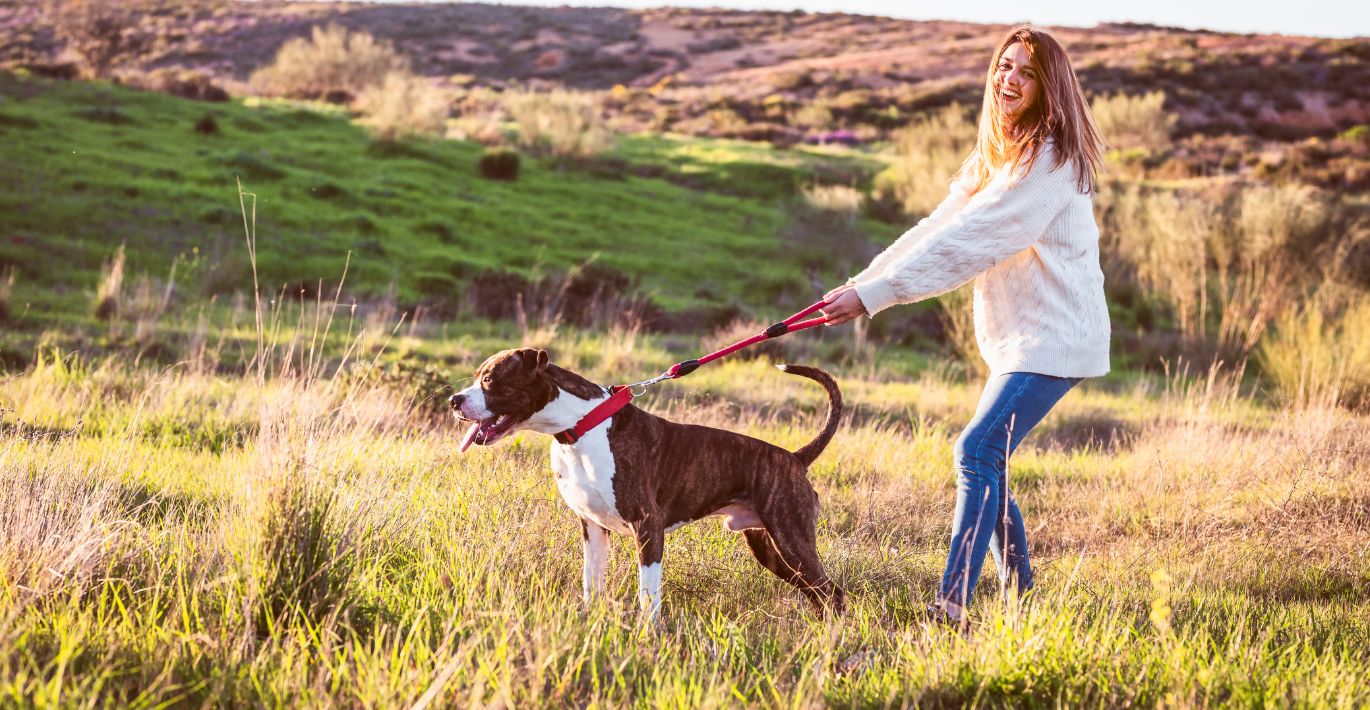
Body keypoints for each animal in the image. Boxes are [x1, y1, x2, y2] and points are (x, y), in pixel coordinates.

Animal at [449, 348, 843, 619]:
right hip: (770, 548)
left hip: (791, 538)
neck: (581, 426)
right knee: (819, 594)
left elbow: (647, 595)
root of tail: (794, 458)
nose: (454, 400)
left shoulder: (648, 526)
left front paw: (648, 638)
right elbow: (592, 584)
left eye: (490, 379)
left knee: (832, 593)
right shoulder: (592, 528)